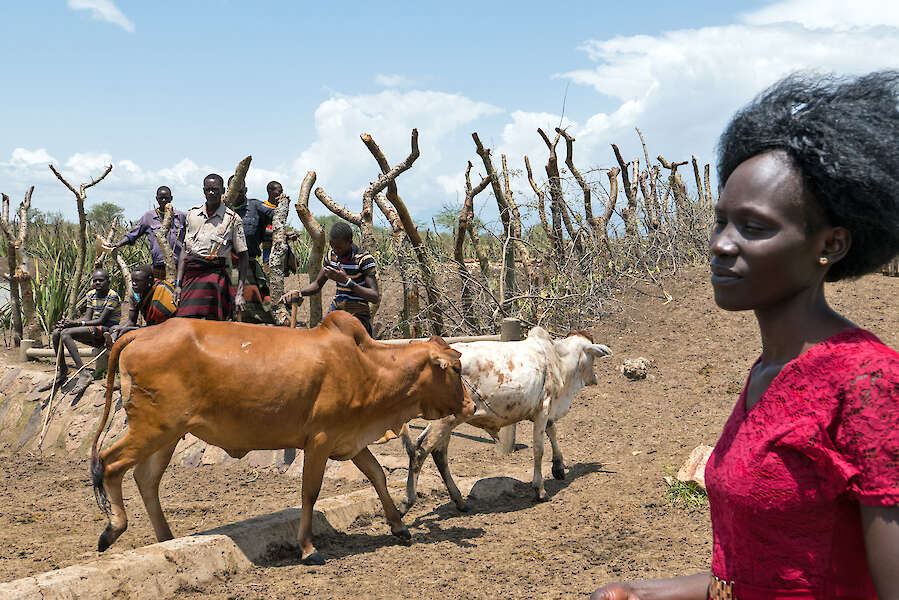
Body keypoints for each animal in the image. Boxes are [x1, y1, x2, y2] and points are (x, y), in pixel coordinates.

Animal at [88, 312, 474, 564]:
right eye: (455, 369)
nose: (470, 406)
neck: (368, 367)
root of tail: (141, 334)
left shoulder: (350, 439)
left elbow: (377, 475)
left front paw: (399, 526)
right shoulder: (320, 439)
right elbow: (310, 492)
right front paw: (308, 549)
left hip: (168, 433)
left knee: (146, 478)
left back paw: (167, 540)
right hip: (152, 427)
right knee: (110, 464)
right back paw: (113, 529)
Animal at [400, 326, 612, 512]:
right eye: (593, 355)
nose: (595, 378)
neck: (558, 360)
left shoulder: (542, 410)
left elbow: (552, 431)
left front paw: (559, 467)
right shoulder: (543, 409)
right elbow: (539, 448)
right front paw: (540, 490)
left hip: (446, 420)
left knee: (437, 453)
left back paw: (460, 502)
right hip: (447, 419)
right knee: (421, 451)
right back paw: (406, 504)